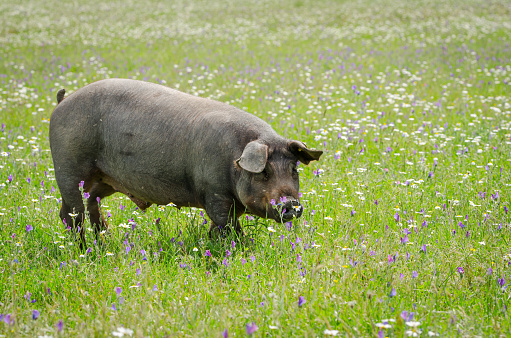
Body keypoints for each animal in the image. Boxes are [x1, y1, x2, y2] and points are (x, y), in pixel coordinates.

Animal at [51, 78, 324, 244]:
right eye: (263, 173)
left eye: (294, 169)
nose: (290, 203)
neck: (233, 162)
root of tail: (63, 100)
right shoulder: (214, 193)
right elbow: (227, 226)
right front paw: (238, 248)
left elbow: (218, 227)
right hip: (68, 167)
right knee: (72, 212)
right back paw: (84, 248)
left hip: (102, 180)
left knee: (88, 206)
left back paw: (103, 239)